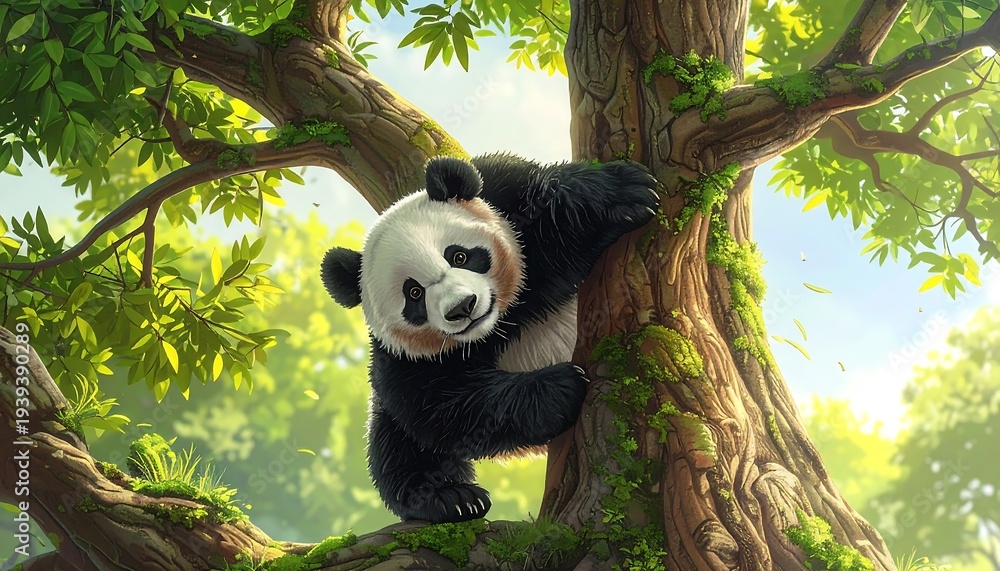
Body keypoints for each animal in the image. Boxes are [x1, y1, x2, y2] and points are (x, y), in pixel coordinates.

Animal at [321, 153, 658, 523]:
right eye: (414, 293)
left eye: (459, 255)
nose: (462, 307)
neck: (500, 323)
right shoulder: (402, 359)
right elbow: (445, 407)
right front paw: (560, 388)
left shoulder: (505, 191)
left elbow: (548, 208)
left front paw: (622, 194)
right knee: (393, 442)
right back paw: (450, 498)